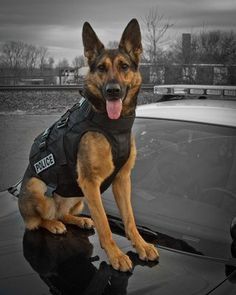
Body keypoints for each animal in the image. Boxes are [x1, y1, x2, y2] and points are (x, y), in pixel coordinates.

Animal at [18, 19, 159, 272]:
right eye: (101, 68)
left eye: (124, 66)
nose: (113, 91)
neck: (111, 125)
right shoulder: (90, 182)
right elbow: (104, 222)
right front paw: (115, 255)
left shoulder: (122, 179)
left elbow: (130, 219)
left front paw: (141, 245)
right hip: (37, 186)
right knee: (38, 221)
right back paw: (53, 224)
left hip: (77, 196)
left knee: (63, 213)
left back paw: (78, 219)